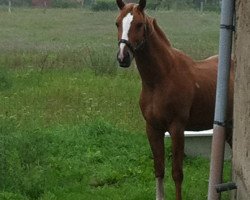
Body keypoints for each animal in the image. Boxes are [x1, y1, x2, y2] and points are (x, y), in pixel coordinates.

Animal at [115, 0, 234, 199]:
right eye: (117, 23)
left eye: (139, 24)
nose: (123, 57)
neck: (161, 78)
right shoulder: (152, 128)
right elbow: (159, 169)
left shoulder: (177, 128)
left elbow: (177, 173)